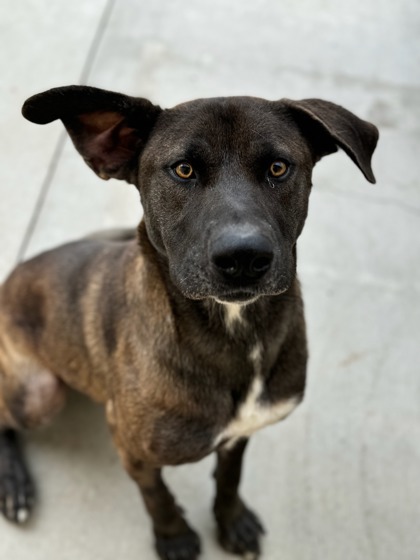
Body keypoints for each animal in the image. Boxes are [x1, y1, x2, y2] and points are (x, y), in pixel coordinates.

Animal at [0, 84, 378, 560]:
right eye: (183, 170)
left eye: (278, 167)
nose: (243, 258)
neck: (235, 333)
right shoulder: (132, 447)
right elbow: (156, 495)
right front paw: (174, 537)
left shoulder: (239, 435)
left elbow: (231, 477)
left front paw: (231, 521)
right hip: (38, 395)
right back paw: (14, 485)